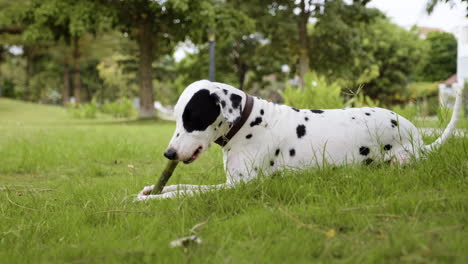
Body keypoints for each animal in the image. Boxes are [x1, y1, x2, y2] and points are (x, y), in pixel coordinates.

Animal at [136, 79, 464, 199]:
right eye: (177, 116)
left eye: (192, 118)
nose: (168, 154)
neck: (248, 123)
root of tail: (419, 138)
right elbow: (183, 186)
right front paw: (152, 190)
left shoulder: (237, 187)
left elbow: (185, 193)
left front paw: (158, 198)